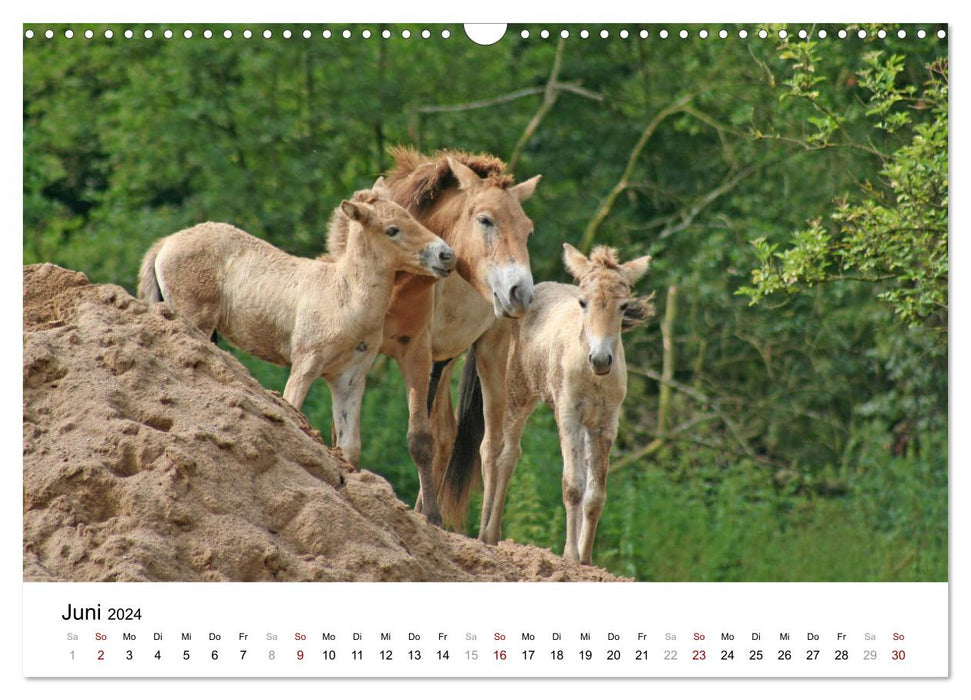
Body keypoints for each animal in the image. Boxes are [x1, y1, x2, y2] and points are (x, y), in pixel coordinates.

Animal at [139, 186, 458, 468]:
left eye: (411, 216)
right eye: (392, 229)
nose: (447, 255)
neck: (345, 296)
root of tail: (166, 242)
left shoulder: (350, 378)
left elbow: (349, 448)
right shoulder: (305, 365)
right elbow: (293, 410)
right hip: (195, 320)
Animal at [326, 148, 540, 524]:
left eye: (527, 231)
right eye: (486, 220)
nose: (521, 293)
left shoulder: (416, 353)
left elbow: (419, 439)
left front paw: (433, 518)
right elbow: (341, 428)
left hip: (489, 353)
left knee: (492, 448)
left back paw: (483, 531)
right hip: (443, 362)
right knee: (447, 433)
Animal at [440, 243, 652, 568]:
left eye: (624, 306)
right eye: (583, 302)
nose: (600, 359)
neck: (591, 374)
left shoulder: (605, 425)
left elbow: (596, 495)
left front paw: (586, 560)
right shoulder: (568, 417)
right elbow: (573, 485)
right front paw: (570, 555)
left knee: (510, 456)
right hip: (512, 395)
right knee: (497, 452)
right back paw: (487, 535)